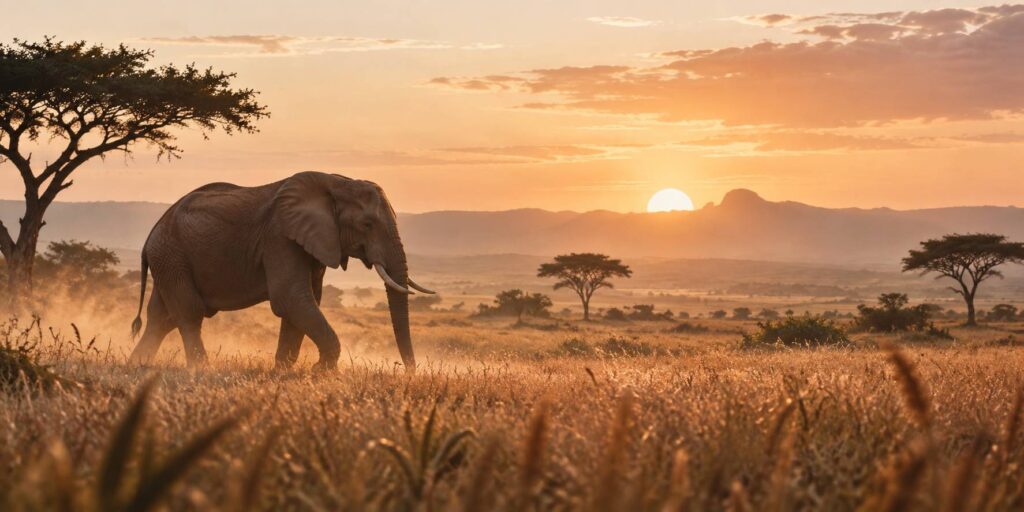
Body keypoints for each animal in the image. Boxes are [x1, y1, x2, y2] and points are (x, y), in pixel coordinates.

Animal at [127, 171, 433, 370]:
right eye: (367, 224)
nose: (408, 372)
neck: (337, 183)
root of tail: (151, 233)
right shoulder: (280, 237)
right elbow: (291, 297)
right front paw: (321, 371)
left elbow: (304, 300)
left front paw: (283, 371)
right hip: (171, 254)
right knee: (189, 312)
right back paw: (201, 370)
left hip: (169, 260)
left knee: (162, 318)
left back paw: (137, 365)